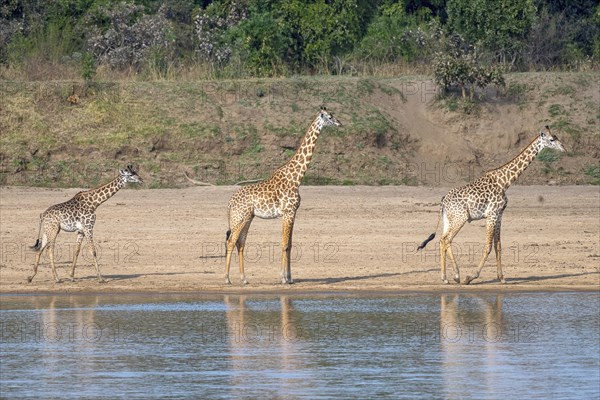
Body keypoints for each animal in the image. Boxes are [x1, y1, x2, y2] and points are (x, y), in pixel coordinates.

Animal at [224, 108, 340, 286]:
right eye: (329, 117)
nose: (339, 123)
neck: (297, 177)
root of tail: (230, 203)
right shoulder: (288, 212)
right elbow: (284, 244)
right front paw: (283, 278)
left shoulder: (292, 213)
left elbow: (290, 244)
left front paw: (290, 278)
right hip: (240, 217)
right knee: (231, 241)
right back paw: (226, 278)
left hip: (247, 217)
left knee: (240, 243)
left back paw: (244, 279)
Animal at [420, 126, 564, 286]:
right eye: (552, 139)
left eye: (556, 137)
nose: (563, 148)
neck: (505, 182)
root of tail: (443, 201)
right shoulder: (492, 214)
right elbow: (488, 246)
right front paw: (470, 277)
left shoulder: (499, 214)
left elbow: (498, 245)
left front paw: (502, 278)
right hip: (460, 218)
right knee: (446, 240)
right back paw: (453, 276)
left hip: (449, 219)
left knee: (443, 240)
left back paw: (449, 277)